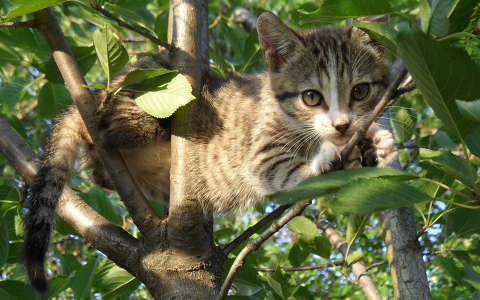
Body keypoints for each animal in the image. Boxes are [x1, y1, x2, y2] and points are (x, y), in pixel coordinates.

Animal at [22, 11, 398, 290]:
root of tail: (97, 94)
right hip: (143, 97)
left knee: (100, 174)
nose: (342, 125)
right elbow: (280, 168)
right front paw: (326, 157)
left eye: (361, 91)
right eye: (311, 97)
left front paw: (377, 145)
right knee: (112, 134)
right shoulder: (259, 149)